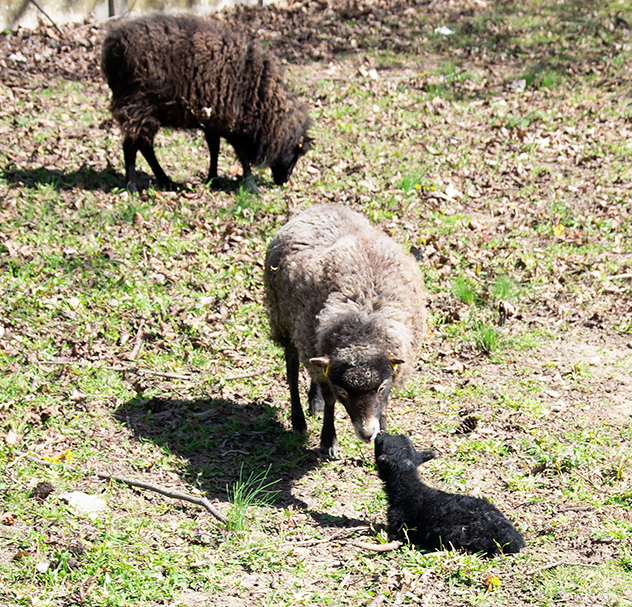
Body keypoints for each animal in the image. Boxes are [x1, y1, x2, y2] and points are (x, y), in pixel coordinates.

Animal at [101, 12, 312, 192]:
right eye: (297, 152)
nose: (284, 180)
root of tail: (112, 47)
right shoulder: (233, 122)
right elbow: (241, 154)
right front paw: (251, 185)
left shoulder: (215, 118)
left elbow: (214, 149)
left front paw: (213, 179)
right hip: (137, 104)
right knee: (131, 146)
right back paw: (132, 187)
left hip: (146, 109)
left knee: (144, 145)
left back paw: (166, 181)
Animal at [264, 204, 428, 456]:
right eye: (344, 392)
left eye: (380, 388)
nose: (367, 434)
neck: (363, 326)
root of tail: (320, 206)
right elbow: (330, 400)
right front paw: (328, 440)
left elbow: (384, 403)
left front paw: (382, 436)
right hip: (283, 321)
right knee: (292, 369)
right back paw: (299, 420)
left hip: (309, 333)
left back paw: (314, 402)